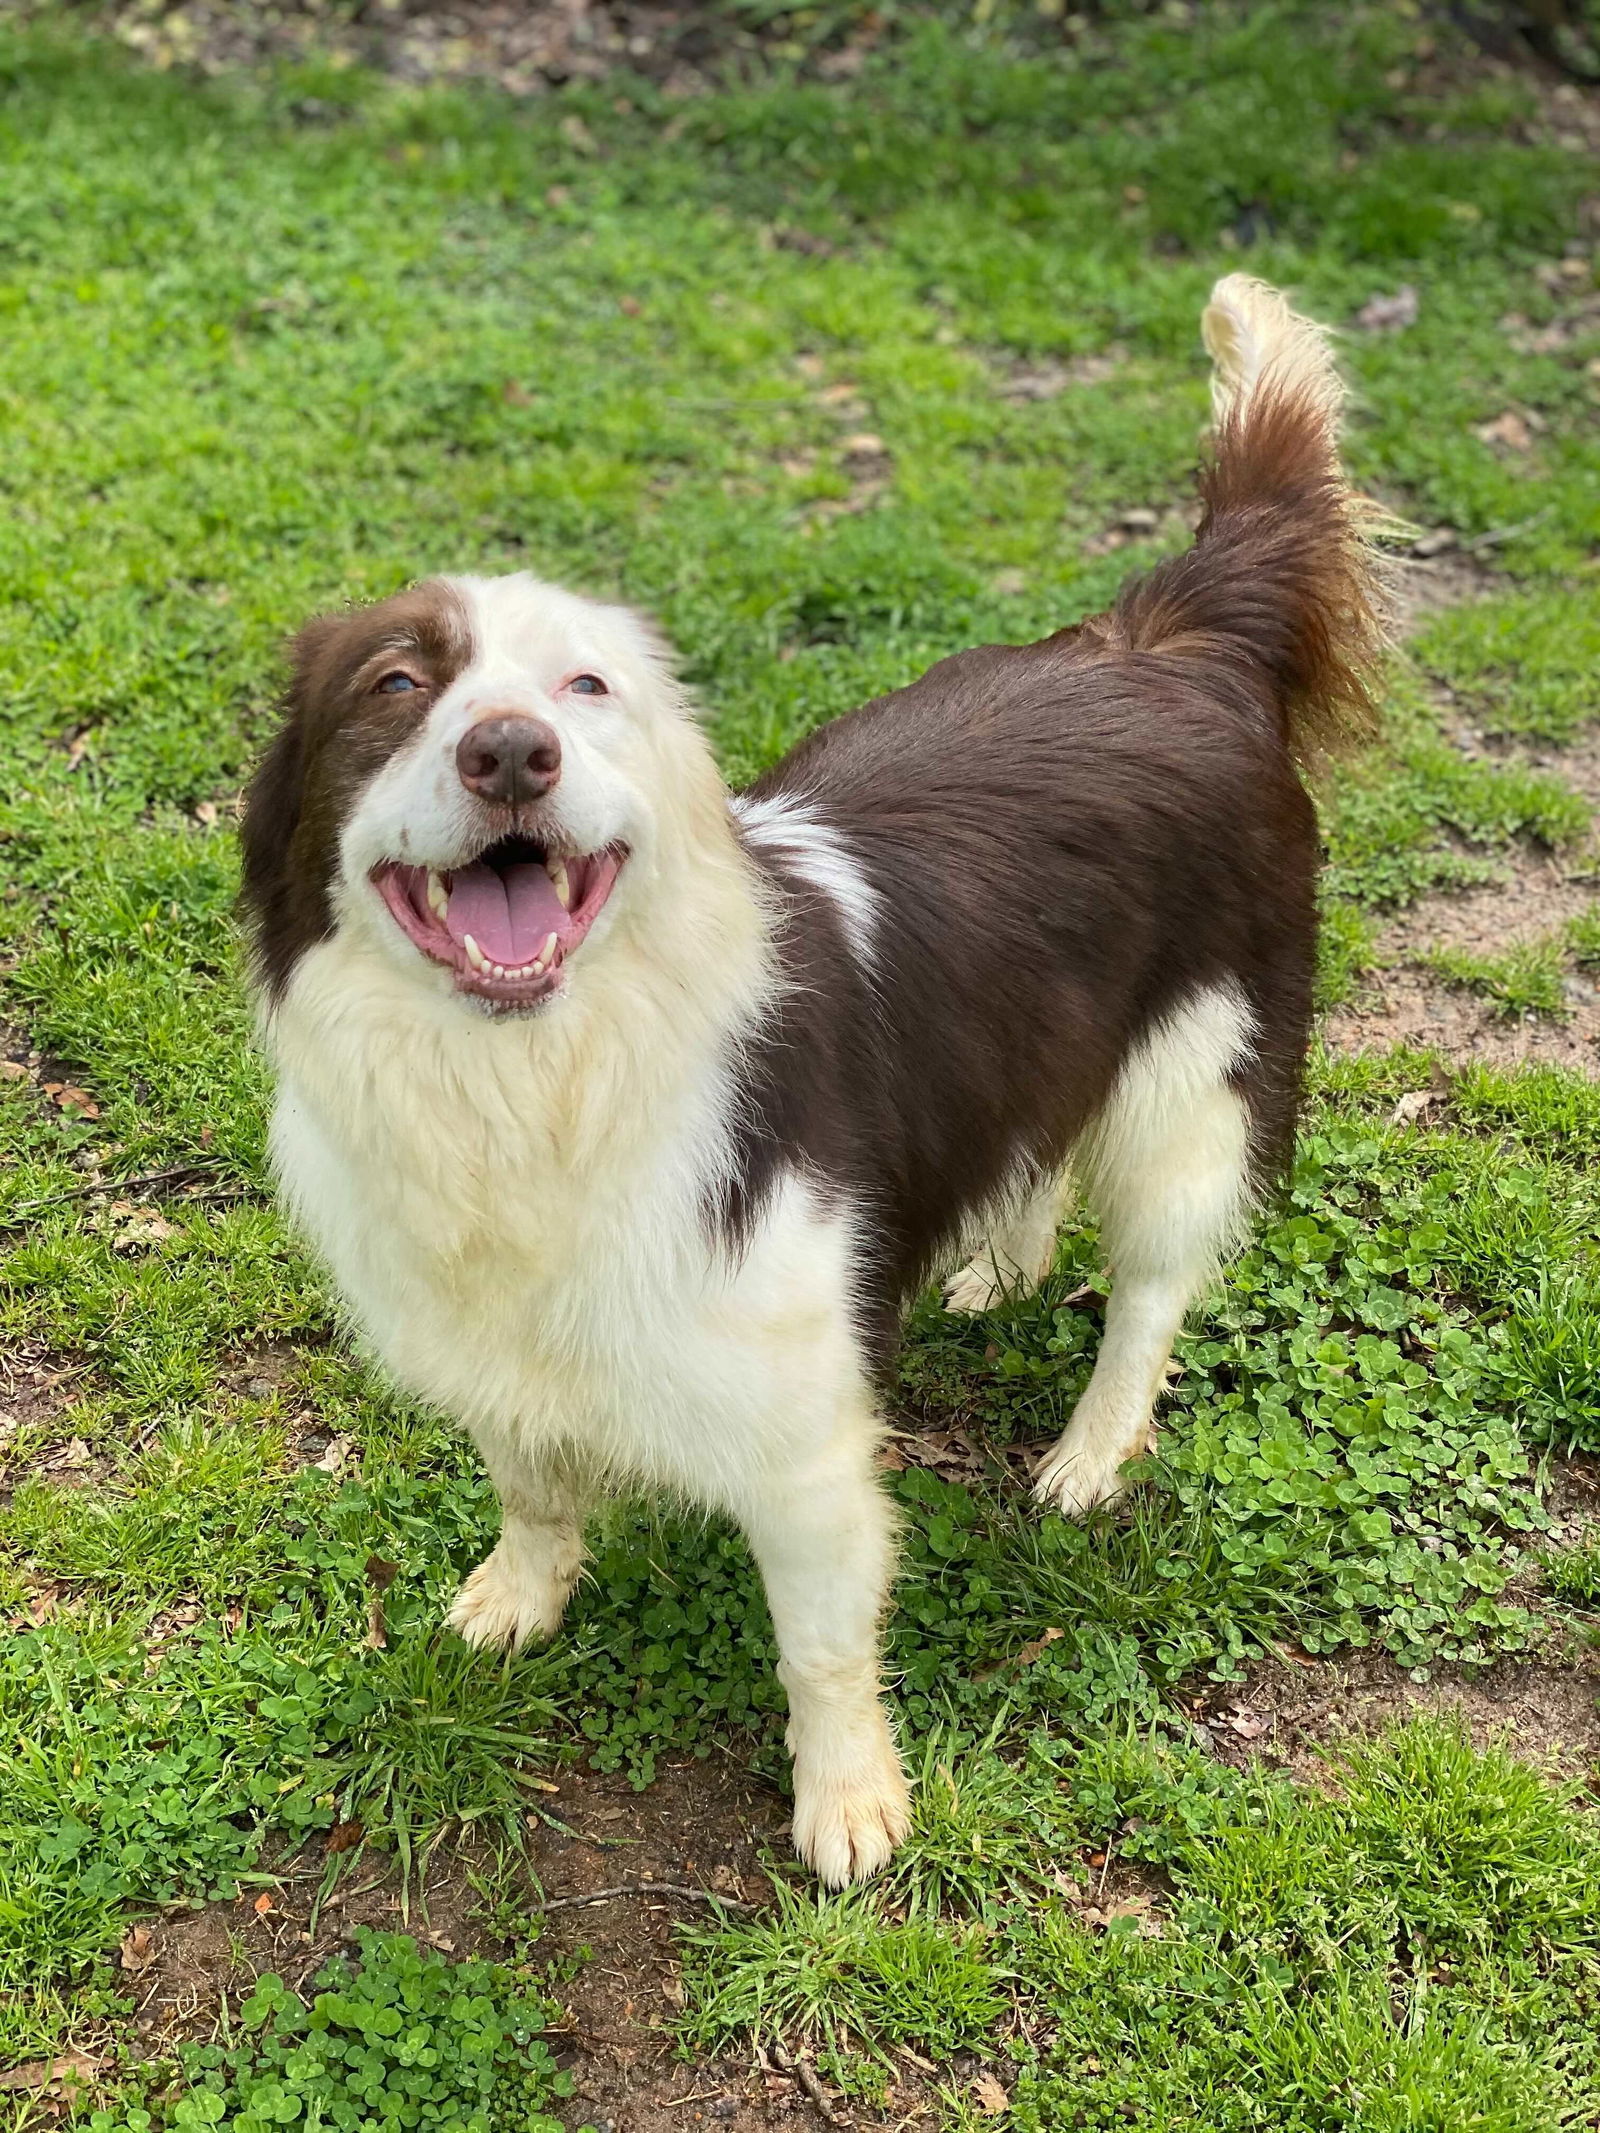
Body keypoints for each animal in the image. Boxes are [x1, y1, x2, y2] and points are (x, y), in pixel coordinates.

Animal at [244, 279, 1382, 1885]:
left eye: (587, 686)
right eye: (397, 686)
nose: (512, 751)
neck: (543, 1085)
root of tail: (1168, 638)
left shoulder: (803, 1442)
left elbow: (822, 1647)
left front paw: (849, 1805)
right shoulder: (491, 1342)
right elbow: (530, 1484)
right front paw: (518, 1595)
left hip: (1198, 1081)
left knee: (1155, 1285)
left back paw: (1092, 1451)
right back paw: (996, 1265)